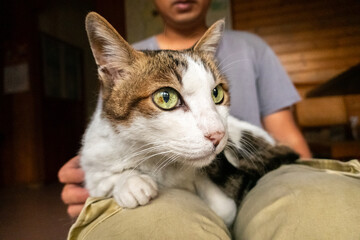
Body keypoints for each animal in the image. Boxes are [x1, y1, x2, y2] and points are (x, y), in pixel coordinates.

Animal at [81, 12, 298, 226]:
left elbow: (225, 208)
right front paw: (132, 182)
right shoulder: (95, 153)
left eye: (217, 93)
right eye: (166, 97)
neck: (162, 161)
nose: (218, 135)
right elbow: (102, 179)